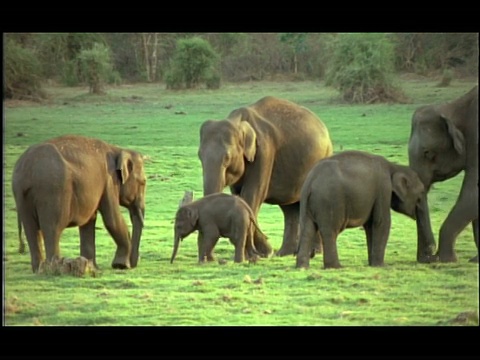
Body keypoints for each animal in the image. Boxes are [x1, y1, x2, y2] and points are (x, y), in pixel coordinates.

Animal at [11, 135, 146, 272]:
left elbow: (89, 221)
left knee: (31, 230)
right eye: (143, 182)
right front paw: (121, 266)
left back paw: (38, 270)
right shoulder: (109, 181)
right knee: (52, 229)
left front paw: (93, 267)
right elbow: (112, 219)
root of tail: (28, 170)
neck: (117, 149)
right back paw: (54, 267)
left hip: (21, 195)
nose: (134, 263)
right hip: (53, 191)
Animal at [197, 94, 332, 255]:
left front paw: (264, 252)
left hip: (323, 158)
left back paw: (315, 251)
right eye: (199, 156)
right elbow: (239, 197)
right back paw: (285, 253)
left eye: (227, 157)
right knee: (289, 208)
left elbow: (252, 195)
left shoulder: (265, 152)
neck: (238, 121)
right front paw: (264, 252)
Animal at [296, 150, 428, 270]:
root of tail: (310, 182)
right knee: (330, 231)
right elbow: (381, 222)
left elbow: (370, 226)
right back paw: (336, 267)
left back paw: (302, 267)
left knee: (308, 229)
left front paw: (372, 264)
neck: (394, 166)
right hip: (330, 201)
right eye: (422, 192)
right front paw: (381, 266)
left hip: (309, 205)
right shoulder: (383, 188)